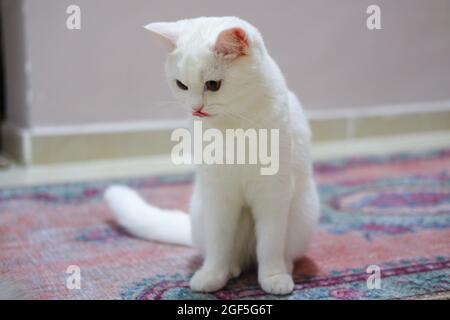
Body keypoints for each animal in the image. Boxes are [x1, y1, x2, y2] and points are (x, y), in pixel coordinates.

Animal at [104, 16, 320, 294]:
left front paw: (273, 277)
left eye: (213, 85)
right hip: (202, 210)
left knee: (277, 252)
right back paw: (231, 268)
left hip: (302, 214)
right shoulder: (218, 194)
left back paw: (283, 268)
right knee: (229, 253)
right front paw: (212, 275)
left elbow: (269, 244)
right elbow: (219, 244)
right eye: (181, 85)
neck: (234, 124)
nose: (196, 108)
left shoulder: (272, 192)